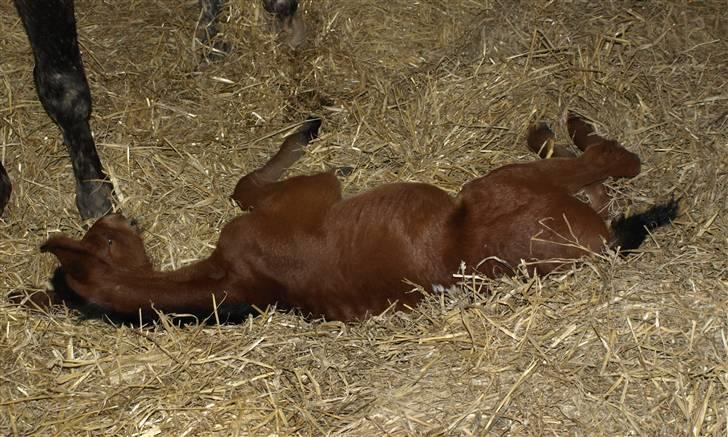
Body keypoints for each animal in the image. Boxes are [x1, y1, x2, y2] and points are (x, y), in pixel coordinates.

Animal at [38, 115, 676, 320]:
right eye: (102, 232)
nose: (121, 215)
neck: (228, 276)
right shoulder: (312, 192)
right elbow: (248, 185)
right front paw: (311, 134)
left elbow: (240, 186)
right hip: (501, 186)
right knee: (611, 163)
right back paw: (565, 129)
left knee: (603, 180)